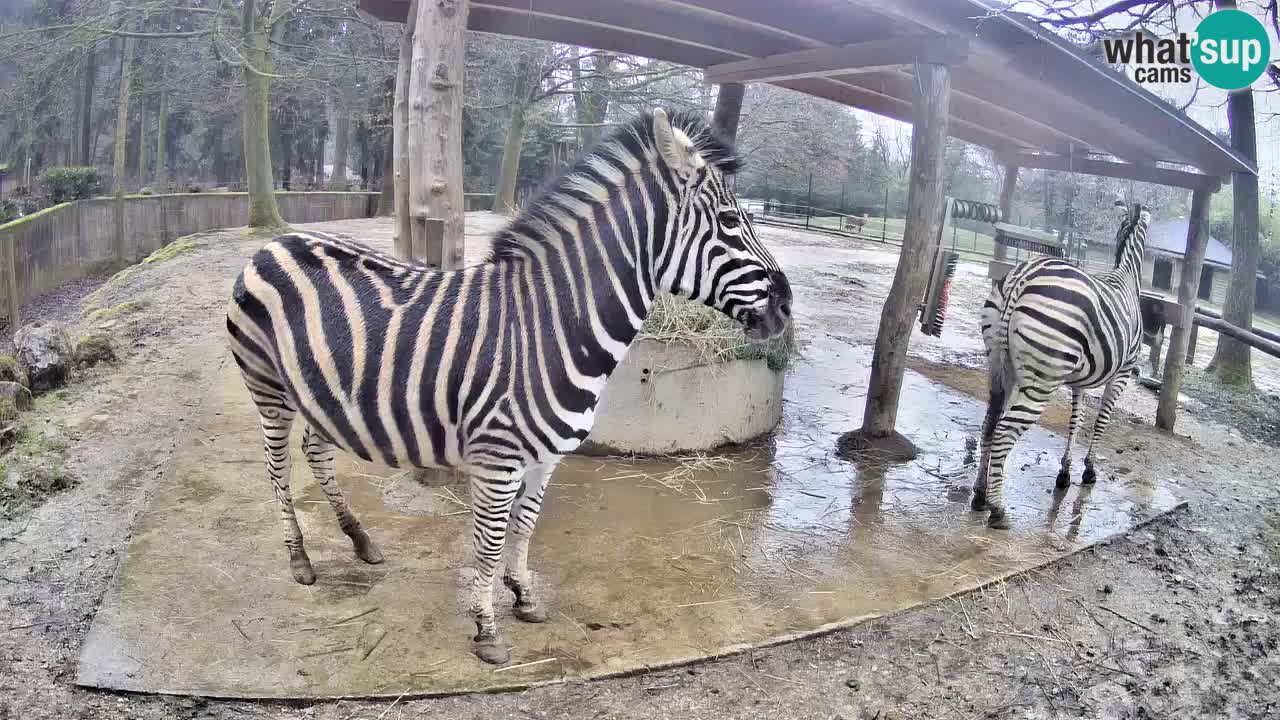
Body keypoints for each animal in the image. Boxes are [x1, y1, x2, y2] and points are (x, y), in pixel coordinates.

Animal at [224, 109, 792, 664]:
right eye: (731, 221)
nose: (786, 307)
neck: (552, 325)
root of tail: (276, 241)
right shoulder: (498, 459)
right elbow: (491, 541)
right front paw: (485, 629)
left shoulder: (546, 457)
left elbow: (524, 527)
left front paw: (522, 597)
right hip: (268, 389)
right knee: (278, 470)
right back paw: (300, 559)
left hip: (319, 392)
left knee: (315, 453)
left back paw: (361, 540)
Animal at [973, 201, 1149, 529]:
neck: (1127, 278)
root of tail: (1022, 277)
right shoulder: (1122, 374)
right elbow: (1101, 420)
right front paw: (1089, 469)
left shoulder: (1081, 380)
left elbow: (1075, 421)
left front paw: (1065, 472)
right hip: (1041, 381)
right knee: (1004, 431)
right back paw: (998, 509)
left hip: (999, 366)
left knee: (990, 423)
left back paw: (979, 495)